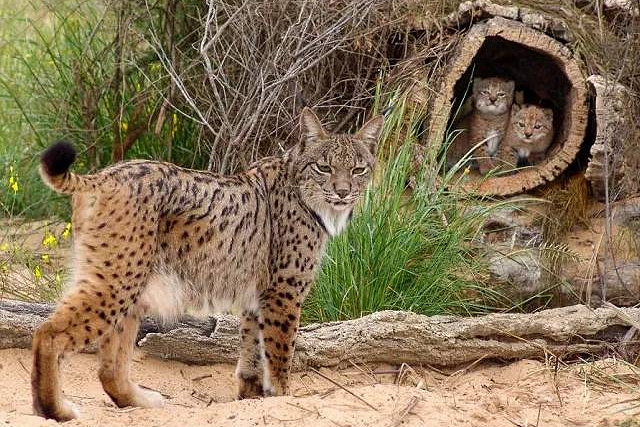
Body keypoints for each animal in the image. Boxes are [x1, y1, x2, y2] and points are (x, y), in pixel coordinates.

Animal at [31, 107, 384, 422]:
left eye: (358, 170)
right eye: (324, 167)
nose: (343, 192)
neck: (305, 191)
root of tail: (103, 175)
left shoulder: (257, 295)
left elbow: (252, 348)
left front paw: (251, 397)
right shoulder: (284, 292)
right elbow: (280, 352)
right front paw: (284, 399)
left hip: (130, 281)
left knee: (108, 368)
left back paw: (139, 402)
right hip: (118, 278)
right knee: (47, 331)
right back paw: (54, 410)